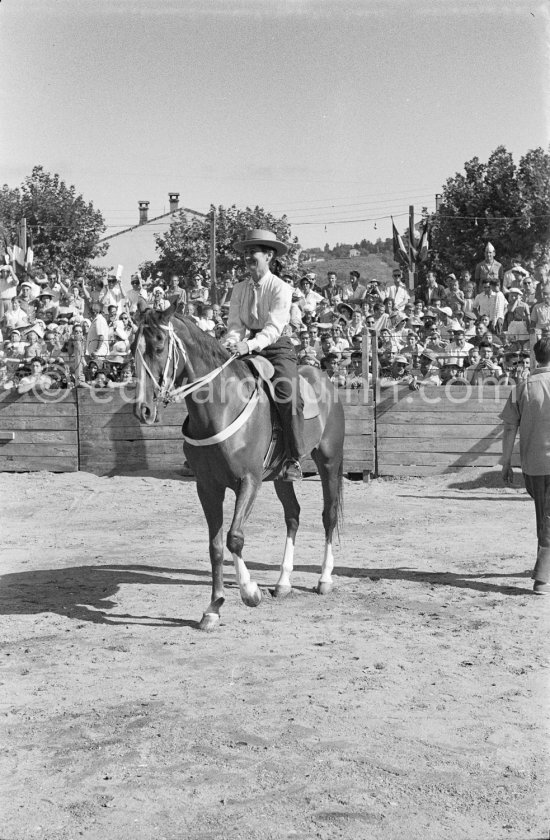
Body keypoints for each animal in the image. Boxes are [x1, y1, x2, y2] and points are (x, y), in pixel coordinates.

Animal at [135, 302, 344, 632]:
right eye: (134, 348)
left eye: (158, 346)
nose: (143, 409)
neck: (221, 407)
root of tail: (323, 378)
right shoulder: (207, 487)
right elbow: (216, 546)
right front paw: (213, 608)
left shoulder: (249, 481)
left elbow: (235, 537)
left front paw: (249, 591)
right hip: (281, 477)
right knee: (293, 516)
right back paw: (283, 582)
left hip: (329, 462)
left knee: (329, 514)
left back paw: (324, 579)